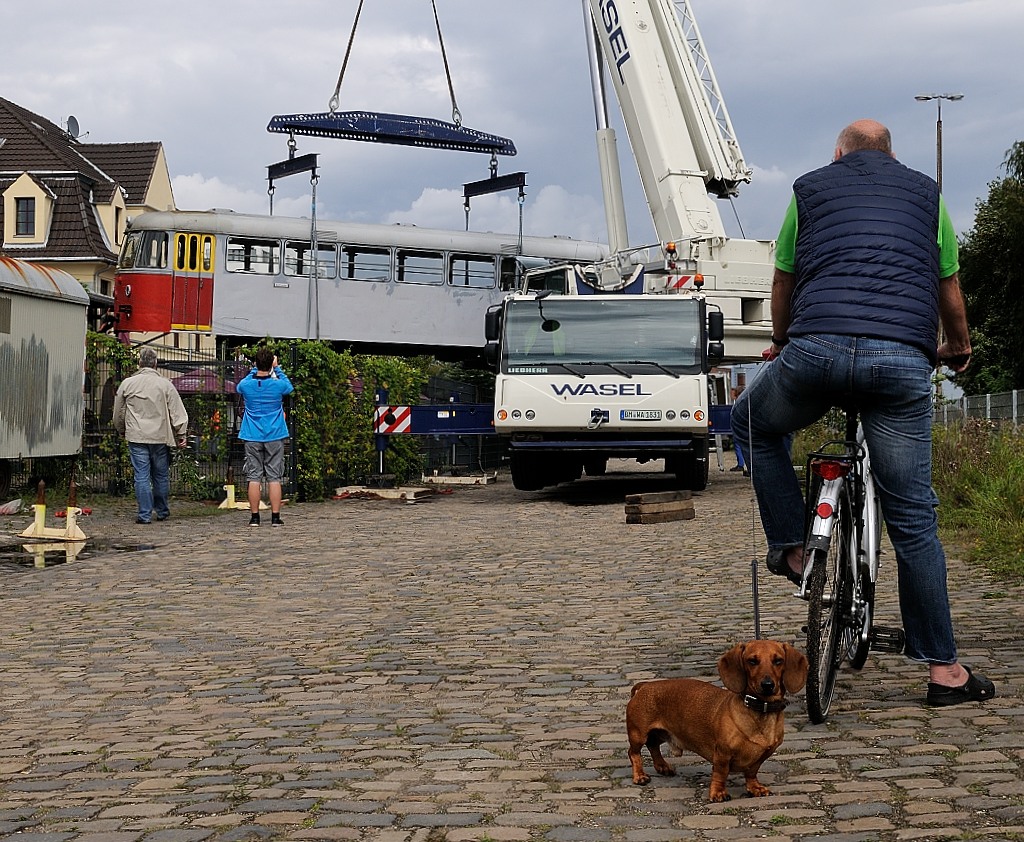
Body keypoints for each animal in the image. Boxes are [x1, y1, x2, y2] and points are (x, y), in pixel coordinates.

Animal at [622, 639, 806, 803]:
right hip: (638, 734)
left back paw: (663, 766)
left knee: (653, 746)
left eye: (778, 661)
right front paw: (718, 793)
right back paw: (640, 776)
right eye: (752, 661)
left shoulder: (761, 756)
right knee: (634, 753)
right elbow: (720, 774)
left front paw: (755, 788)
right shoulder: (722, 754)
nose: (767, 684)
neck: (760, 711)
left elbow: (752, 772)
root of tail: (644, 686)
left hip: (659, 734)